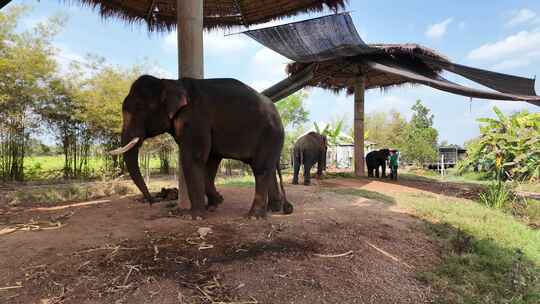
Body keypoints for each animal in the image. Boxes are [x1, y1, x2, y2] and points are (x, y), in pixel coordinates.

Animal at [109, 75, 294, 218]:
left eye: (140, 108)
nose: (152, 202)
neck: (169, 82)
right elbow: (209, 161)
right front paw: (214, 204)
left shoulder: (194, 119)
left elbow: (194, 158)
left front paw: (195, 216)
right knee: (269, 167)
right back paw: (274, 209)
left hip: (271, 134)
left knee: (261, 168)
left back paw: (254, 216)